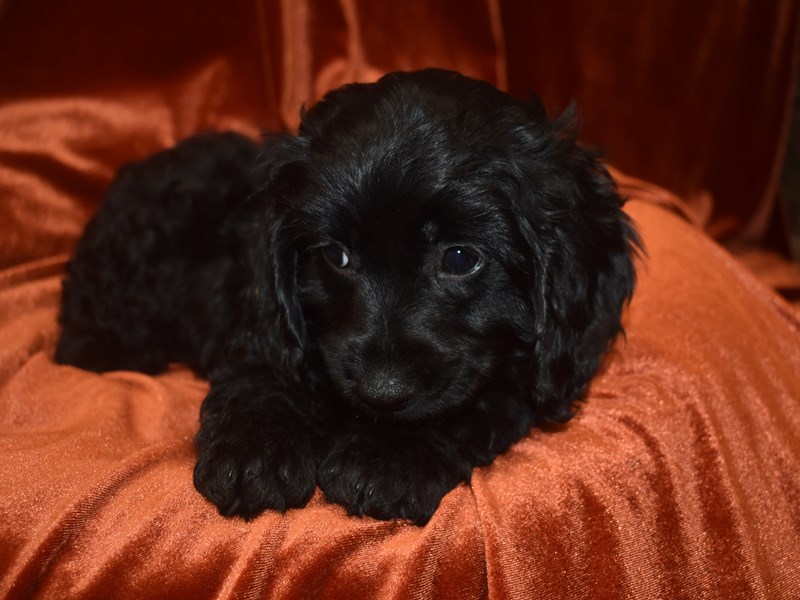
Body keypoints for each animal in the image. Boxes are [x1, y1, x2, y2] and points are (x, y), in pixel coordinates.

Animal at [56, 68, 640, 524]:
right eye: (335, 255)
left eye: (459, 259)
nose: (382, 392)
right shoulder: (262, 316)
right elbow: (259, 372)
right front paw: (256, 451)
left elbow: (482, 399)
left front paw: (387, 456)